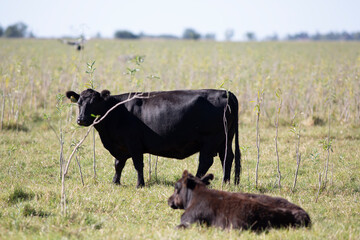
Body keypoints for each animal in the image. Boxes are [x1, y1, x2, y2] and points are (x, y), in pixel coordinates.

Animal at [67, 88, 242, 188]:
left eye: (94, 103)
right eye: (79, 103)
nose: (81, 119)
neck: (116, 111)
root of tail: (225, 92)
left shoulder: (134, 143)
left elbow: (138, 164)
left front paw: (140, 184)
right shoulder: (121, 146)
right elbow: (118, 164)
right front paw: (115, 182)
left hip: (211, 140)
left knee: (206, 161)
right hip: (225, 139)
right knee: (227, 158)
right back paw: (226, 182)